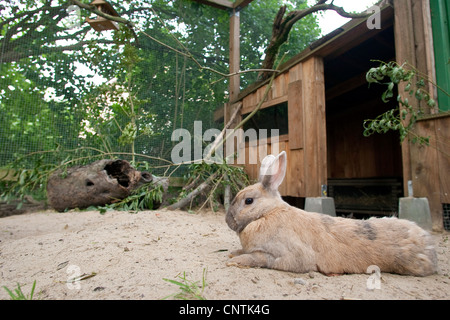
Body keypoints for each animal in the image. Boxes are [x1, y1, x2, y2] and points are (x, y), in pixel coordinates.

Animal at [227, 151, 438, 276]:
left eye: (248, 201)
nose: (228, 220)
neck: (267, 213)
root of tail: (429, 245)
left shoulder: (287, 255)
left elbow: (259, 258)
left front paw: (237, 260)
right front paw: (233, 253)